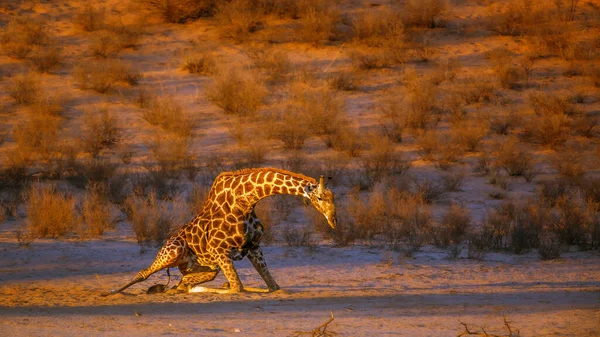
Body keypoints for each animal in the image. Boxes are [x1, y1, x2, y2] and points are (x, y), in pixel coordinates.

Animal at [103, 167, 338, 294]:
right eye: (319, 197)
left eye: (333, 197)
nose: (333, 220)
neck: (246, 202)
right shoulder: (219, 250)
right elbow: (237, 287)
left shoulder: (254, 247)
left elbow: (273, 286)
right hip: (173, 251)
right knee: (144, 272)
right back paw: (111, 293)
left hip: (205, 268)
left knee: (185, 280)